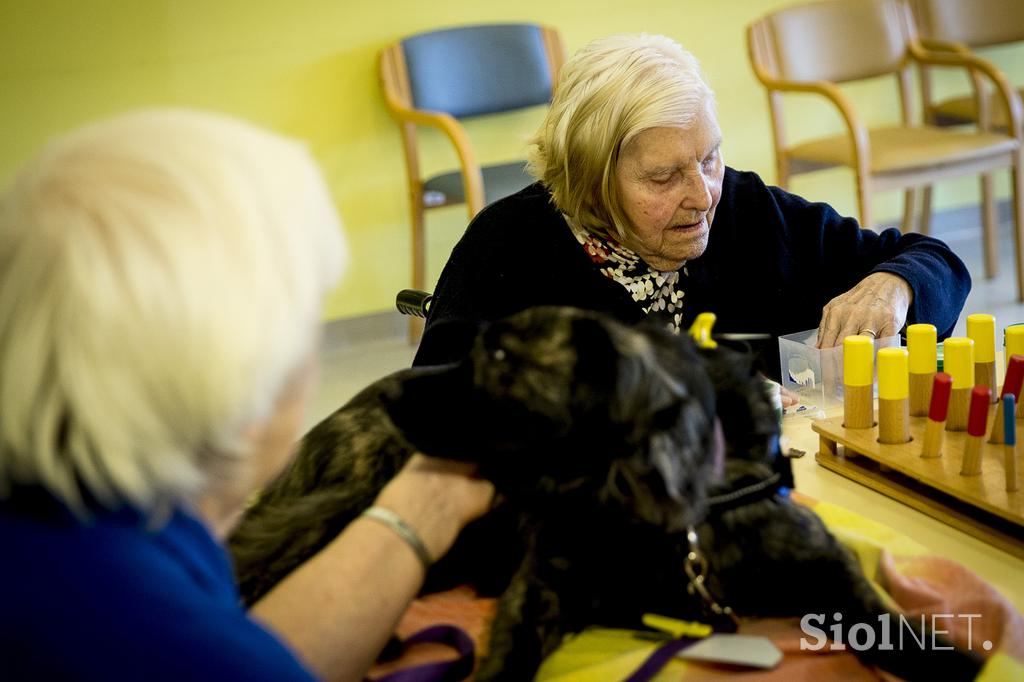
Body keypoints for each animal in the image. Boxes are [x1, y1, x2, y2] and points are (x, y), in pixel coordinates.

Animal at [228, 305, 978, 675]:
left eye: (499, 356)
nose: (391, 394)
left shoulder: (826, 566)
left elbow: (893, 627)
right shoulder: (542, 589)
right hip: (343, 504)